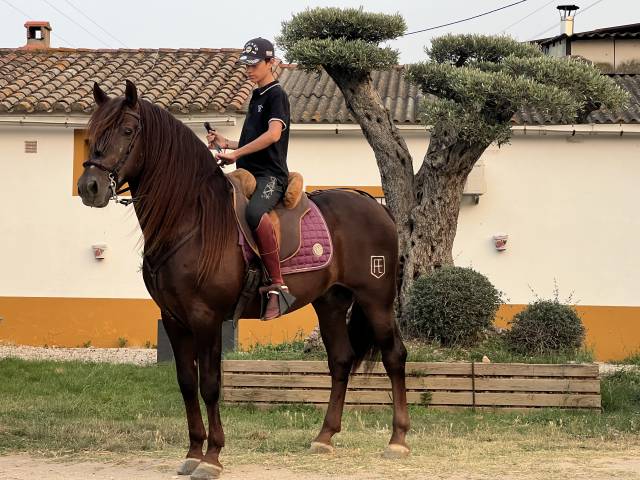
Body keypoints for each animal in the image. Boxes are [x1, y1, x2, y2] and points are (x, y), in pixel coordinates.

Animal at [76, 80, 410, 478]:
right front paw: (193, 451)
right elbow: (186, 383)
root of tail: (377, 206)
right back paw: (324, 437)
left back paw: (398, 440)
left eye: (127, 131)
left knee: (394, 356)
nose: (90, 186)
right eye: (92, 131)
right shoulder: (174, 319)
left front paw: (212, 456)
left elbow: (210, 385)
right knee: (341, 361)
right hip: (330, 302)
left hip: (376, 301)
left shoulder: (206, 318)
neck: (191, 221)